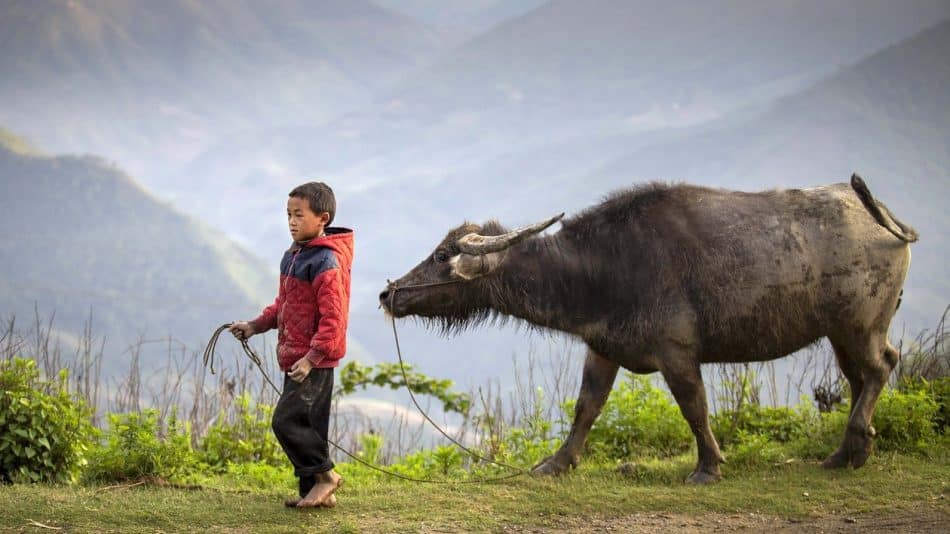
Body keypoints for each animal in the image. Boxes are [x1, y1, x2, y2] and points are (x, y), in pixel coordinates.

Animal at [378, 176, 916, 486]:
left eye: (443, 255)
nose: (389, 294)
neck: (603, 267)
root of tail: (881, 217)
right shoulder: (602, 348)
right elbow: (585, 408)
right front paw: (556, 464)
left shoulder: (676, 352)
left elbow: (695, 408)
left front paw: (707, 467)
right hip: (839, 331)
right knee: (858, 378)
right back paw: (846, 453)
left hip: (861, 323)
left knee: (881, 367)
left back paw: (855, 444)